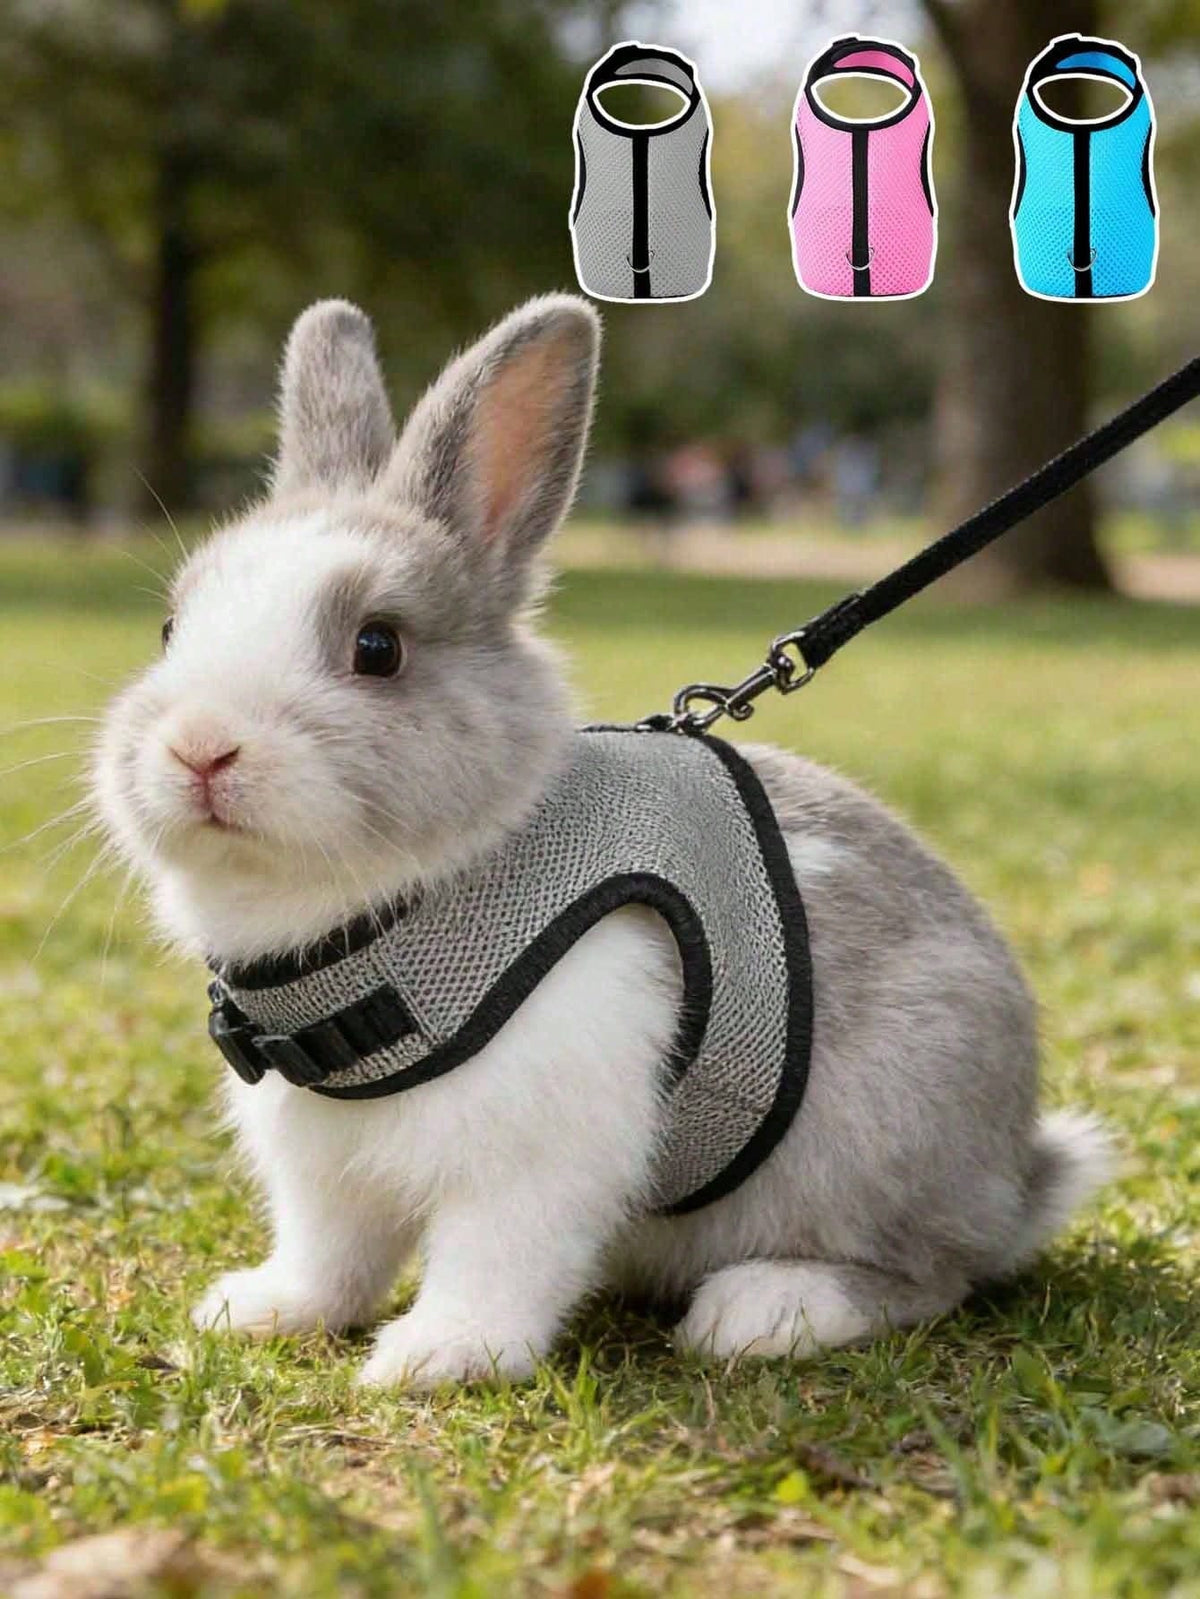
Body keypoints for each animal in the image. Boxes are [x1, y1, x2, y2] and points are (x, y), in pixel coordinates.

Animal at [94, 294, 1112, 1388]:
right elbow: (331, 1252)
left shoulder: (536, 1142)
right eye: (170, 628)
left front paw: (438, 1356)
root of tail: (1019, 1174)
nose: (200, 747)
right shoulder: (323, 1158)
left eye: (378, 647)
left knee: (929, 1274)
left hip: (877, 1138)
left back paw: (762, 1311)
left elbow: (497, 1254)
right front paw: (260, 1311)